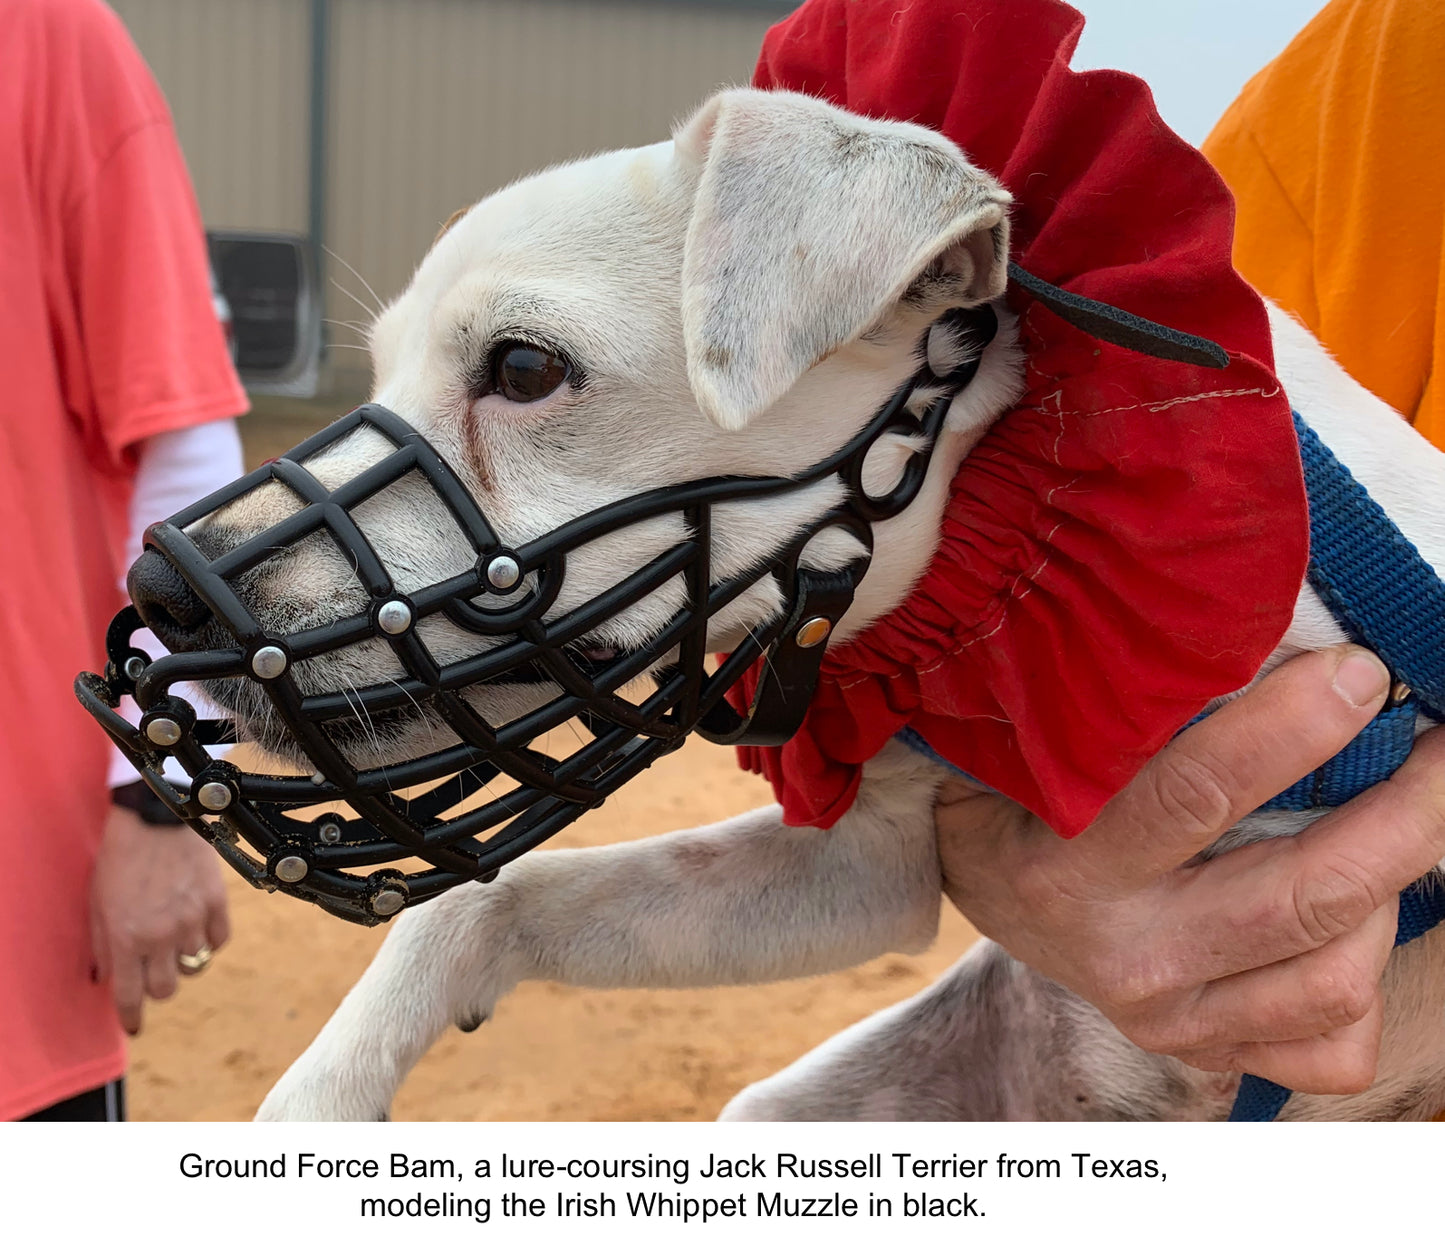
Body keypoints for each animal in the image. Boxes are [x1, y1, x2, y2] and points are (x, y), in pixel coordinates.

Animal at [228, 87, 1445, 1121]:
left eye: (524, 368)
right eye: (378, 376)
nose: (183, 601)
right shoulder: (870, 867)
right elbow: (481, 898)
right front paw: (320, 1100)